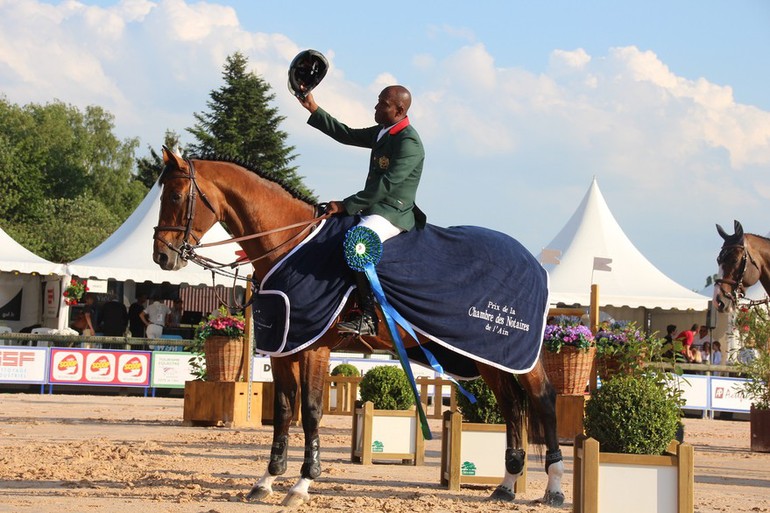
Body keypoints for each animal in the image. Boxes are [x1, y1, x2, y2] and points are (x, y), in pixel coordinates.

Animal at [154, 146, 564, 506]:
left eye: (175, 195)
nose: (162, 256)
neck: (289, 243)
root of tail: (532, 260)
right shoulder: (284, 348)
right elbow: (285, 411)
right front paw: (267, 480)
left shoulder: (314, 347)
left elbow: (312, 411)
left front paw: (302, 484)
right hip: (488, 356)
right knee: (512, 407)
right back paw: (506, 486)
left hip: (516, 355)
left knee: (543, 400)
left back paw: (554, 489)